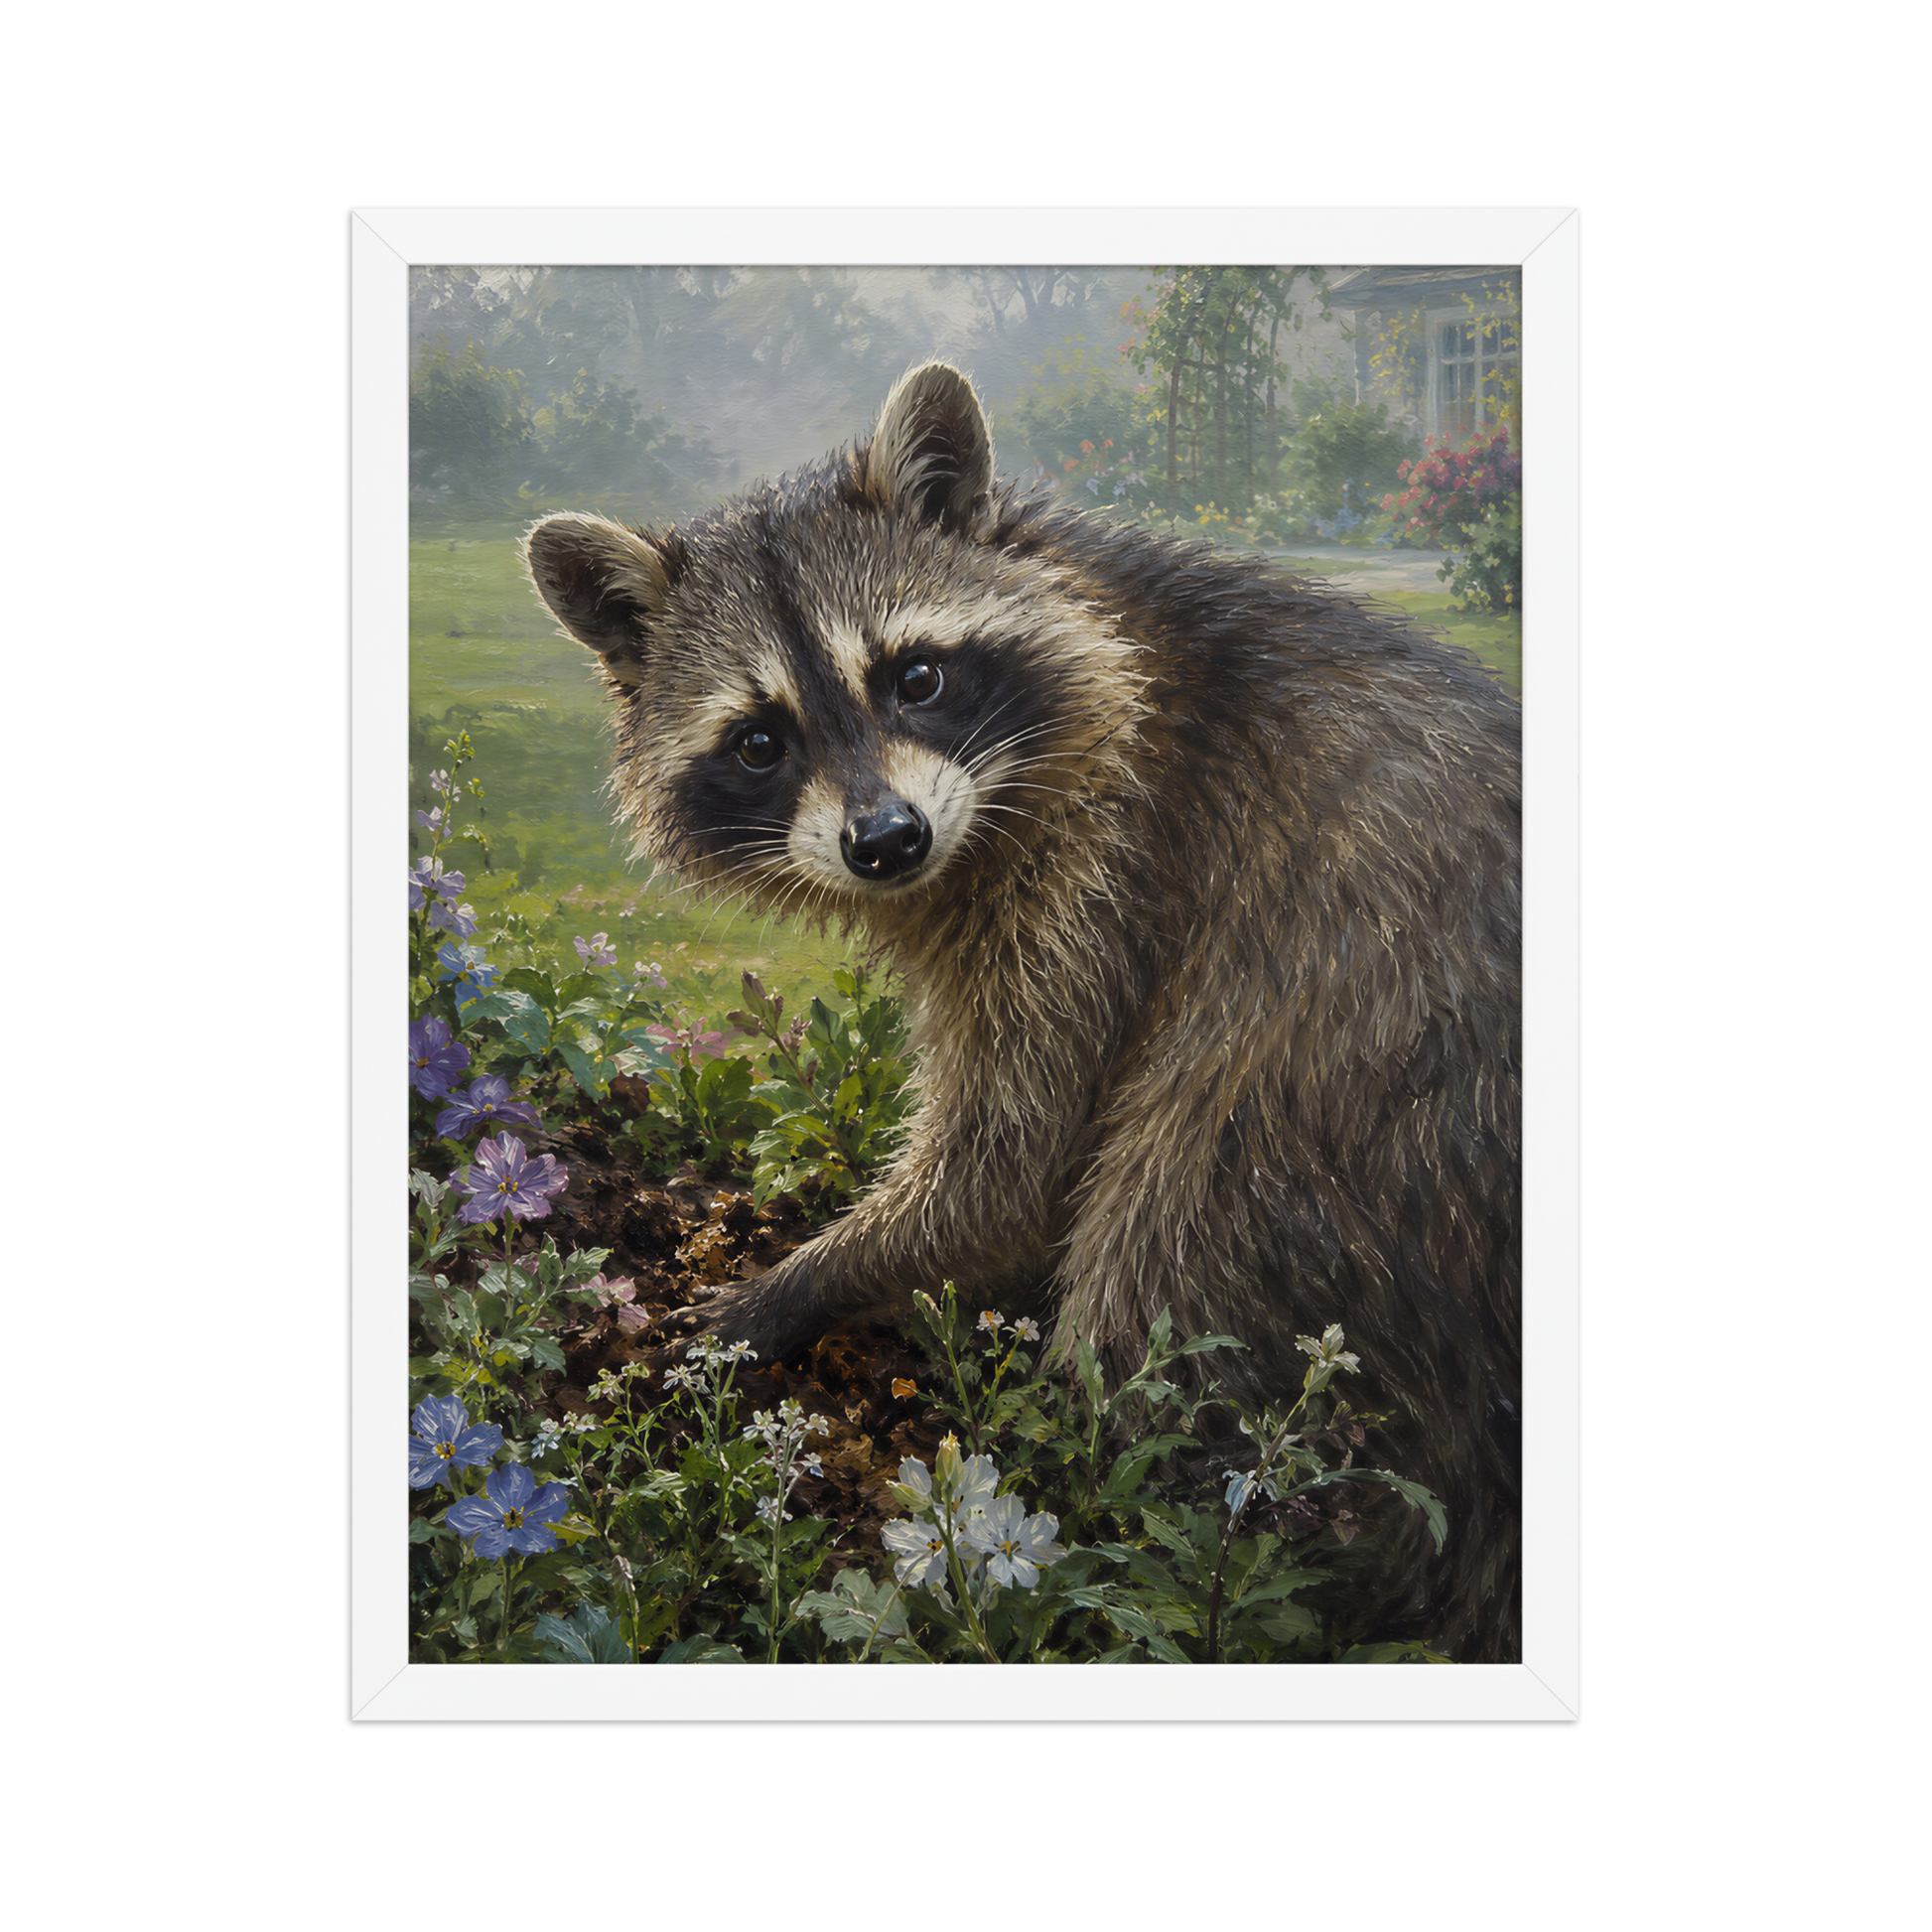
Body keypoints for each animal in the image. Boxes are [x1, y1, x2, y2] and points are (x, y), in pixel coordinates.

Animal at [523, 362, 1521, 1661]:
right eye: (758, 740)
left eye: (915, 675)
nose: (885, 841)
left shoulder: (1110, 867)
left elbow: (1010, 1164)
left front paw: (799, 1282)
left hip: (1341, 1120)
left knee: (1168, 1250)